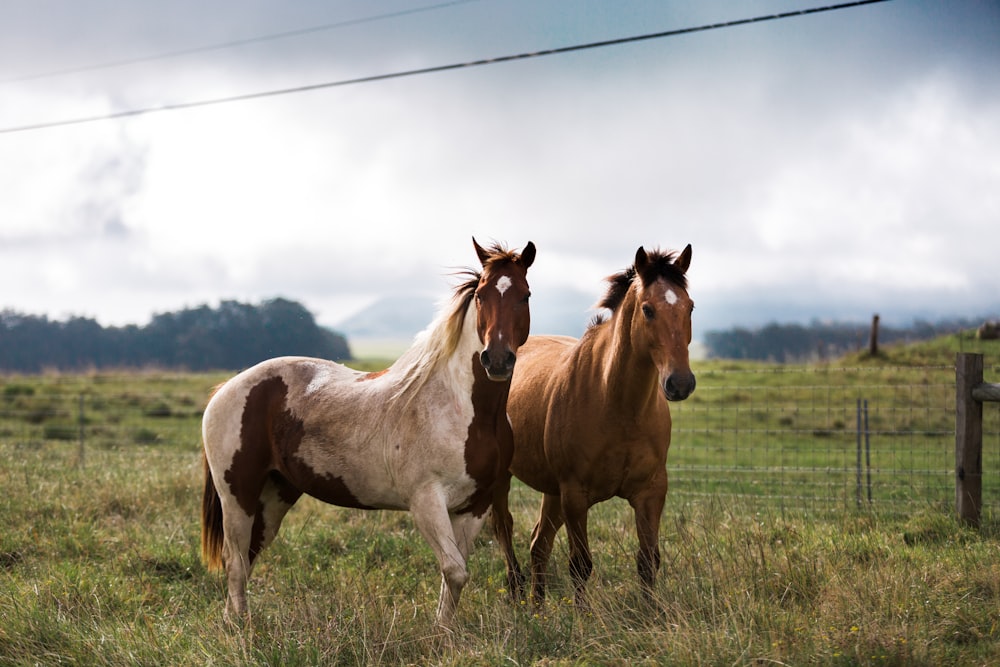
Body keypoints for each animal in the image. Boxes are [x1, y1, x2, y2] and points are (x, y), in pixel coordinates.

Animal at [488, 244, 692, 604]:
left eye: (690, 307)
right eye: (648, 309)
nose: (680, 383)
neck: (618, 406)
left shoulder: (651, 491)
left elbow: (648, 560)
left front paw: (651, 613)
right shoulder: (575, 494)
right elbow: (580, 565)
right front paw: (582, 617)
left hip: (552, 491)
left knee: (539, 544)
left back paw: (537, 607)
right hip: (507, 480)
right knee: (505, 529)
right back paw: (517, 594)